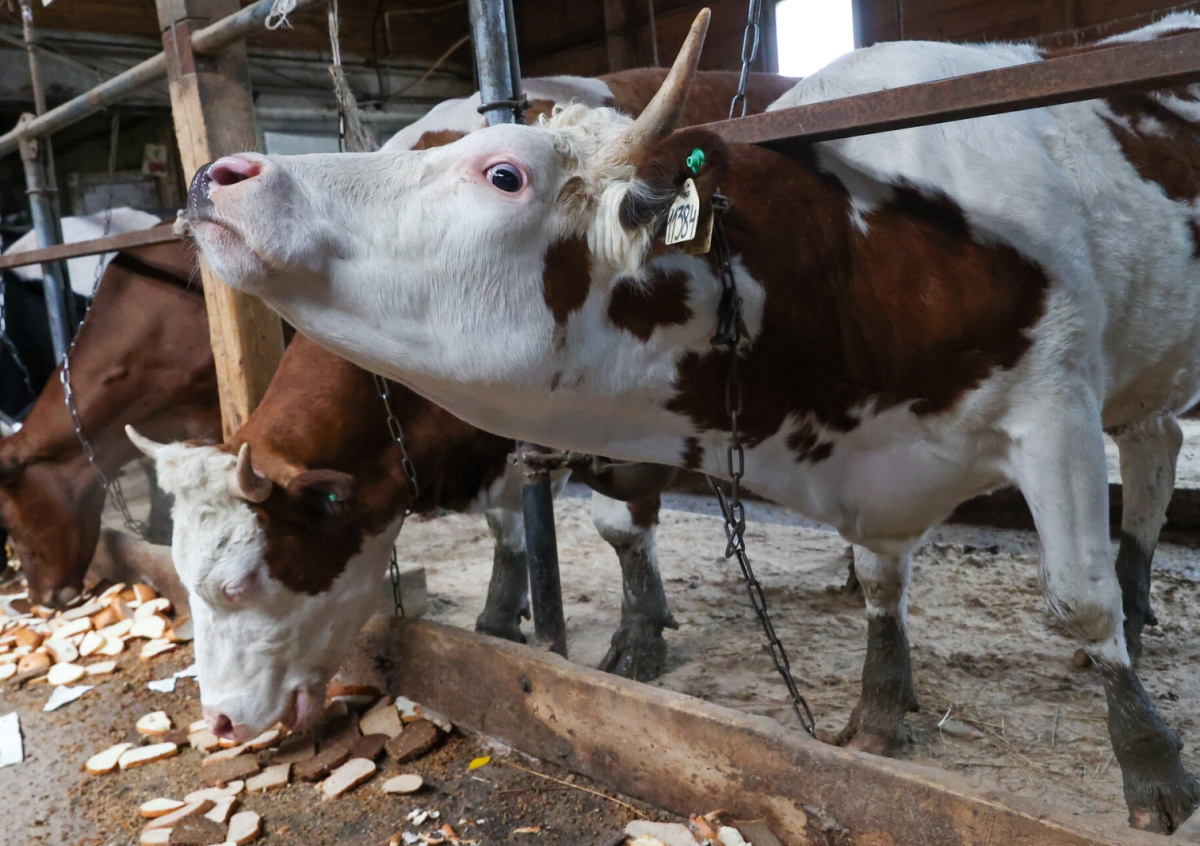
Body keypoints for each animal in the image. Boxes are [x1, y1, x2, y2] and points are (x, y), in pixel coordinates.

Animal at [177, 9, 1200, 833]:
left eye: (503, 174)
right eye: (188, 581)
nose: (217, 174)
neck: (857, 260)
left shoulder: (1056, 407)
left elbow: (1078, 598)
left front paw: (1152, 767)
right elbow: (870, 580)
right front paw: (875, 710)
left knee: (1150, 461)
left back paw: (1140, 599)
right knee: (1156, 441)